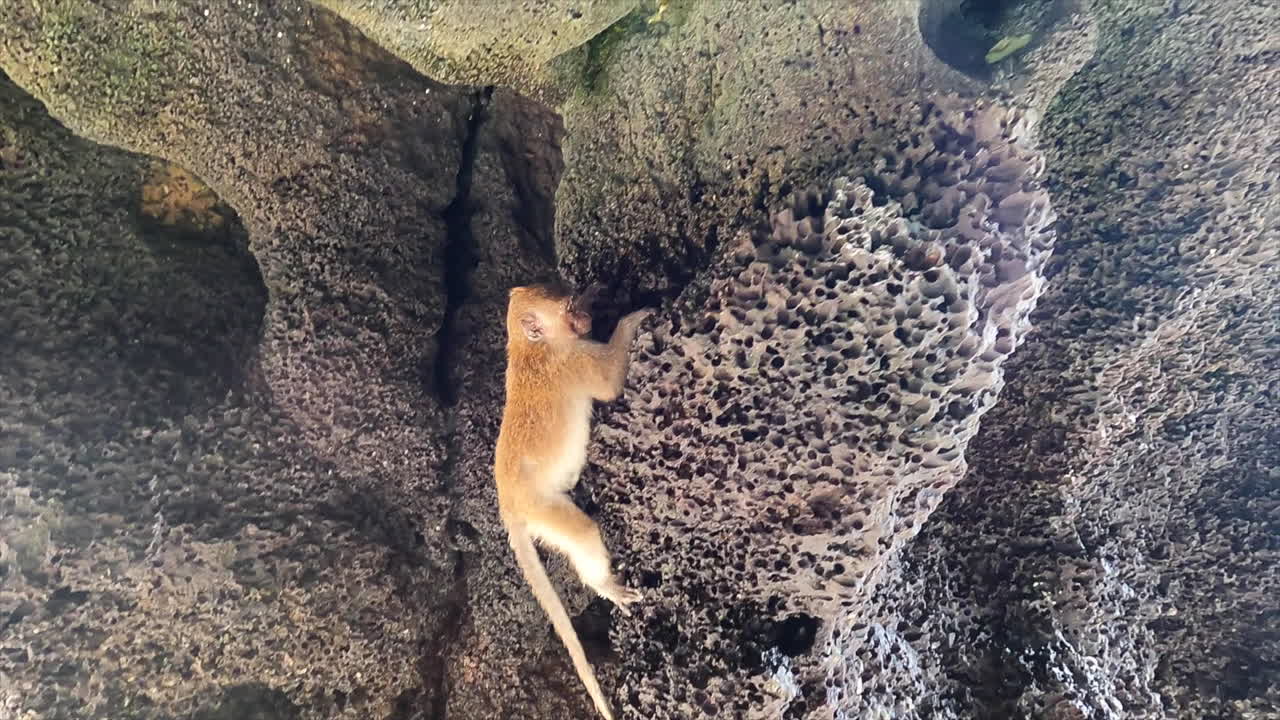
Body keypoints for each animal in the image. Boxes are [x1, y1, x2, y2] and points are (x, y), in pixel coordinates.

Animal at [493, 282, 651, 720]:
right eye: (567, 308)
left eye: (571, 297)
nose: (584, 317)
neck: (532, 348)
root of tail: (508, 504)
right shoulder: (576, 360)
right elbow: (610, 384)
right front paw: (632, 320)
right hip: (541, 507)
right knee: (581, 532)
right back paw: (602, 583)